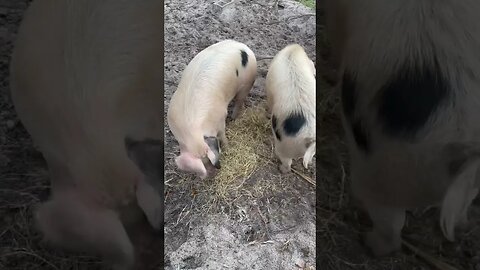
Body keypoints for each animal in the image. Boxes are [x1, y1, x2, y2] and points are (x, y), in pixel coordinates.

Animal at [169, 39, 258, 179]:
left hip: (247, 83)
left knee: (239, 100)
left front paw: (228, 147)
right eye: (203, 162)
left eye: (208, 159)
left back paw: (234, 117)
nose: (212, 174)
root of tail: (242, 46)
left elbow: (222, 134)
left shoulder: (221, 115)